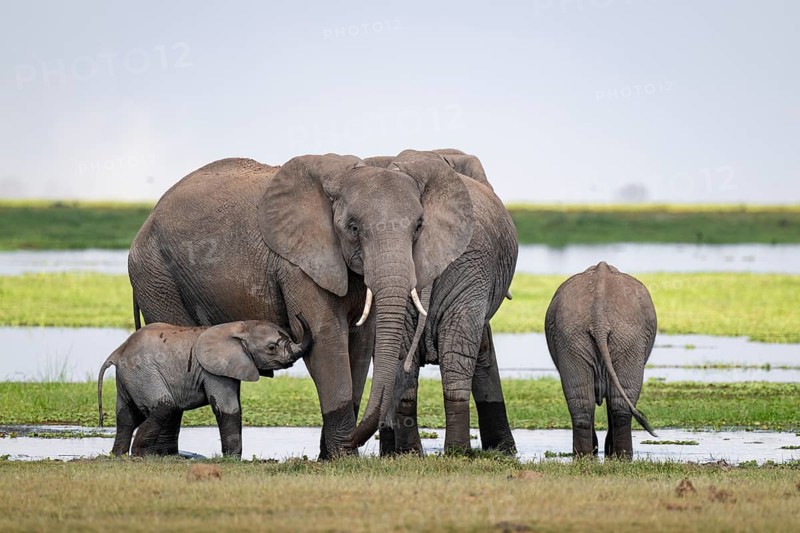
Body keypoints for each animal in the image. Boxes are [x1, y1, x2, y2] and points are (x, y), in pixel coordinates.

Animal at [97, 315, 312, 458]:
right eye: (272, 348)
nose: (298, 315)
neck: (239, 327)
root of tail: (118, 352)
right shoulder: (213, 371)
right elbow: (228, 408)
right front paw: (233, 459)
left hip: (128, 377)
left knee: (126, 417)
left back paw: (118, 456)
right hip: (143, 372)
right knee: (164, 406)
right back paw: (141, 456)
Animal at [128, 153, 475, 458]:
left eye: (418, 226)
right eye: (353, 227)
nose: (355, 439)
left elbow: (361, 343)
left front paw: (331, 455)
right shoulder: (298, 264)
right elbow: (327, 339)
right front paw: (342, 456)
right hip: (156, 273)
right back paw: (164, 456)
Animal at [350, 150, 518, 454]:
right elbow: (482, 348)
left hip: (468, 262)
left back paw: (421, 452)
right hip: (471, 261)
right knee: (456, 350)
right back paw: (448, 451)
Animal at [544, 261, 658, 459]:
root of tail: (599, 319)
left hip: (574, 336)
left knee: (583, 402)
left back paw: (585, 456)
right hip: (628, 337)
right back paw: (620, 456)